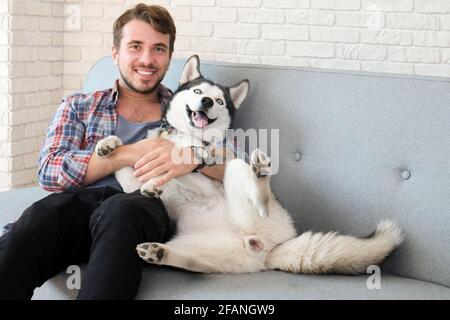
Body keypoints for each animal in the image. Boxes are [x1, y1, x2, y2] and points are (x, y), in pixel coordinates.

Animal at [96, 55, 404, 276]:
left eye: (219, 100)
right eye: (197, 90)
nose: (206, 101)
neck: (187, 135)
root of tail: (269, 249)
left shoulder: (207, 184)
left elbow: (183, 157)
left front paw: (193, 155)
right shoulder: (131, 180)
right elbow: (123, 166)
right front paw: (110, 146)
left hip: (240, 177)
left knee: (254, 187)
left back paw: (259, 176)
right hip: (204, 248)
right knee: (198, 264)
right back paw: (161, 254)